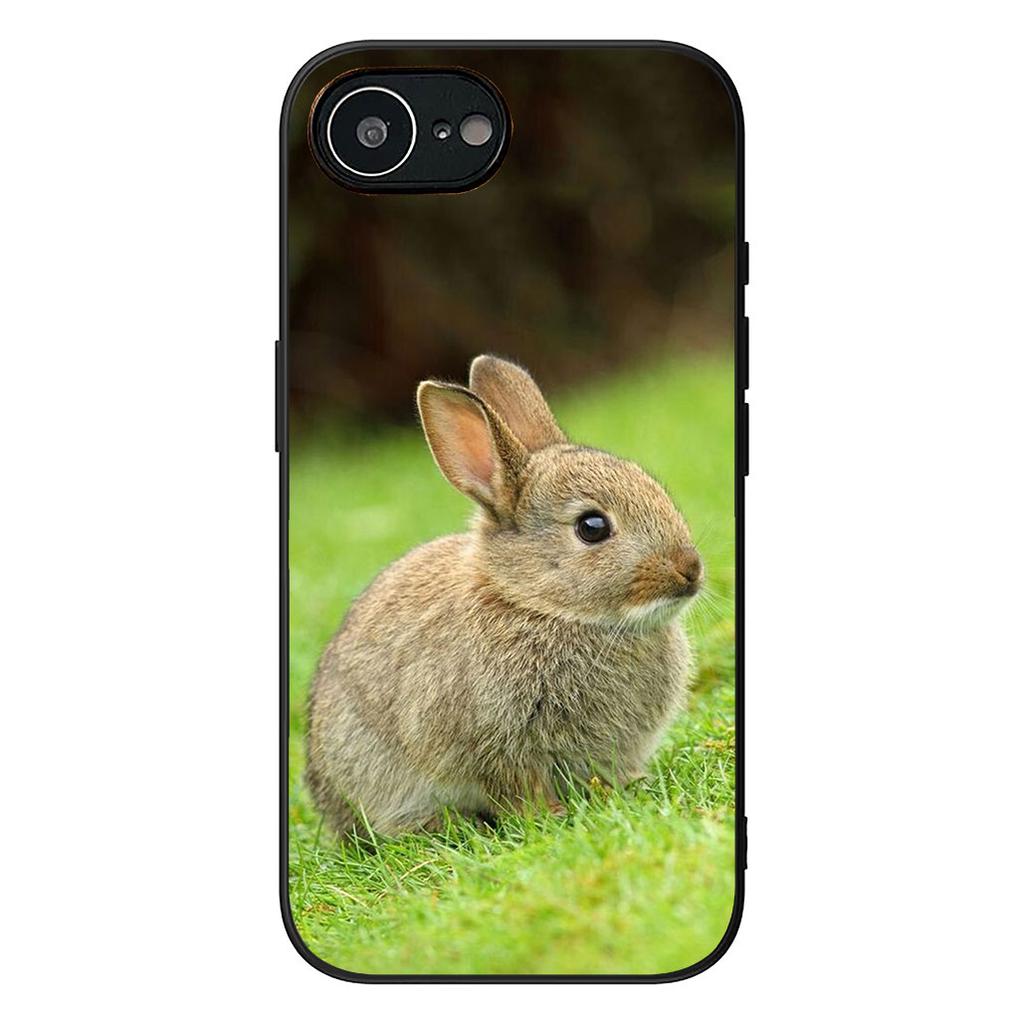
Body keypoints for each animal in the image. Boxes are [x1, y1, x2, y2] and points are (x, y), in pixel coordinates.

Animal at [306, 355, 704, 837]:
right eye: (592, 527)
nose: (690, 570)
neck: (538, 605)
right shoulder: (494, 743)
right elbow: (516, 786)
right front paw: (550, 816)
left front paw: (626, 787)